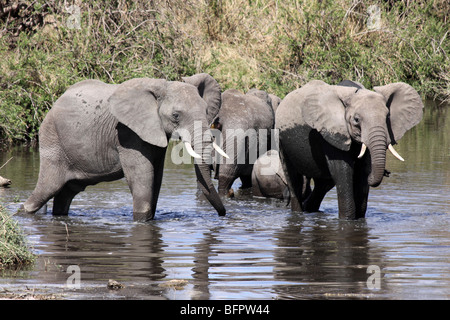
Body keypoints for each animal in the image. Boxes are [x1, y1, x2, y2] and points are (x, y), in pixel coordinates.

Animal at [19, 74, 229, 221]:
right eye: (176, 115)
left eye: (206, 111)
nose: (223, 215)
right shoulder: (127, 133)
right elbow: (142, 176)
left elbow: (156, 178)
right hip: (52, 140)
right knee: (46, 189)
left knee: (64, 194)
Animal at [276, 80, 424, 220]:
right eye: (356, 120)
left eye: (387, 117)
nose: (387, 173)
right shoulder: (331, 134)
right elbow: (343, 171)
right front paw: (347, 220)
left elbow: (362, 170)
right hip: (282, 141)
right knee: (294, 180)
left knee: (322, 185)